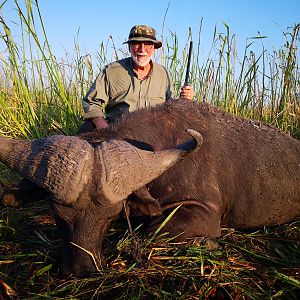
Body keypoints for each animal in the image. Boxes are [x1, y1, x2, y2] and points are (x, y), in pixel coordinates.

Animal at [0, 100, 300, 276]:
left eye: (111, 216)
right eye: (58, 213)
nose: (82, 270)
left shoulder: (204, 214)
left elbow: (148, 232)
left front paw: (207, 243)